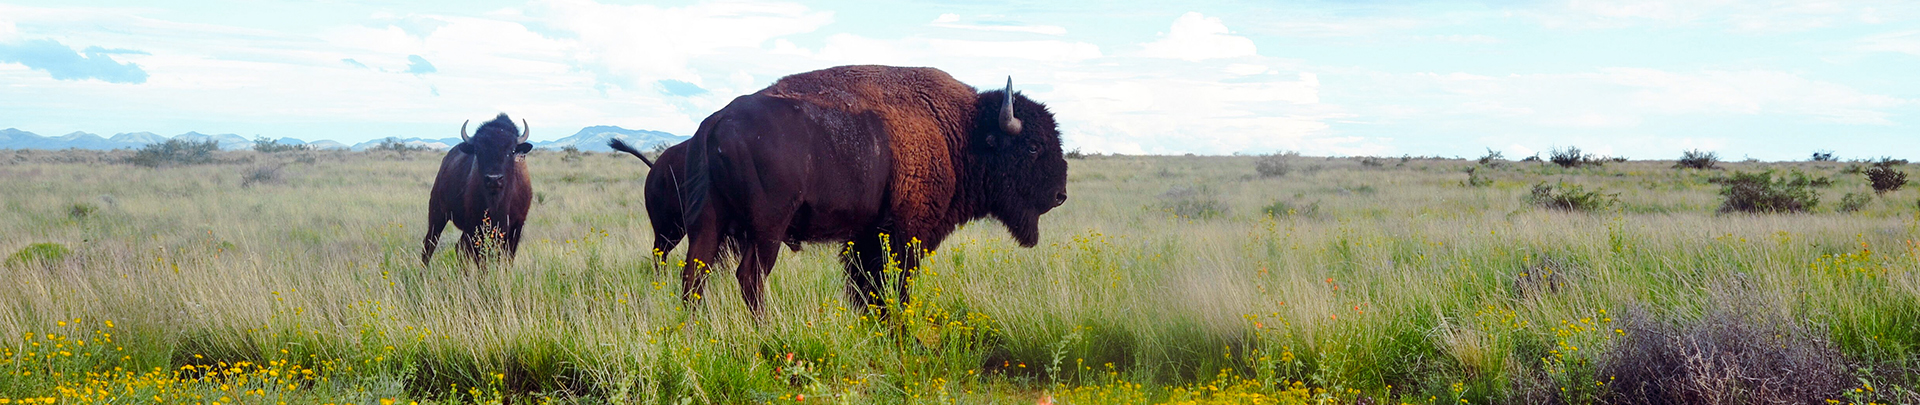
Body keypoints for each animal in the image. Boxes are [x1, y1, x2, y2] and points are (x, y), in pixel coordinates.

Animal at [421, 113, 535, 266]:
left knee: (459, 247)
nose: (494, 179)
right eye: (478, 151)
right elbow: (482, 260)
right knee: (430, 244)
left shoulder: (516, 227)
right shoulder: (477, 228)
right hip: (437, 215)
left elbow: (506, 258)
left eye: (511, 151)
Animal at [674, 65, 1069, 315]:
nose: (1059, 195)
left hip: (708, 222)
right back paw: (766, 330)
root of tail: (715, 123)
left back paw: (696, 331)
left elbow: (865, 289)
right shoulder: (905, 234)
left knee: (694, 276)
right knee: (750, 278)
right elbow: (893, 286)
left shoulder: (865, 236)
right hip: (766, 229)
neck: (959, 132)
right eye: (1033, 147)